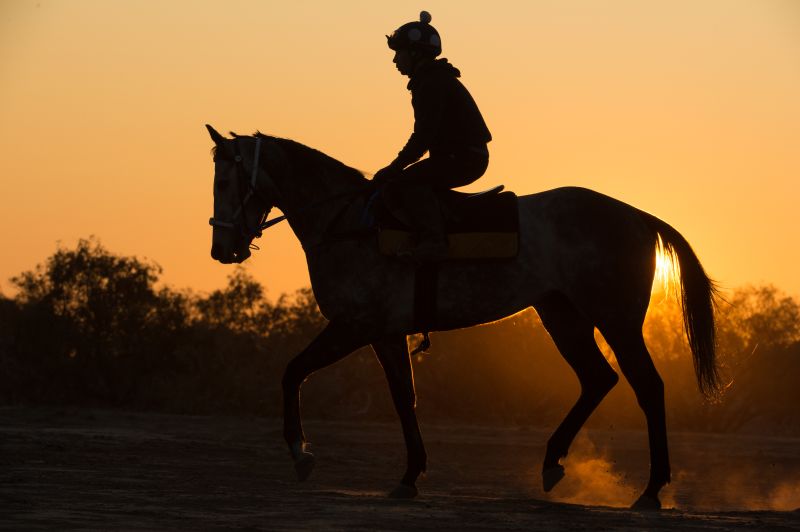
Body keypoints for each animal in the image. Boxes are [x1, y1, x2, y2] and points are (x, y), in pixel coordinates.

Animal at [205, 124, 720, 512]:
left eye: (225, 183)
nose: (221, 249)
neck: (349, 224)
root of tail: (636, 215)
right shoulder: (385, 334)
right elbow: (403, 399)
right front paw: (409, 475)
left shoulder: (353, 327)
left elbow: (293, 372)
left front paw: (300, 452)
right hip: (562, 316)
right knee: (597, 379)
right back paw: (553, 463)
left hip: (617, 320)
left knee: (647, 386)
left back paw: (650, 490)